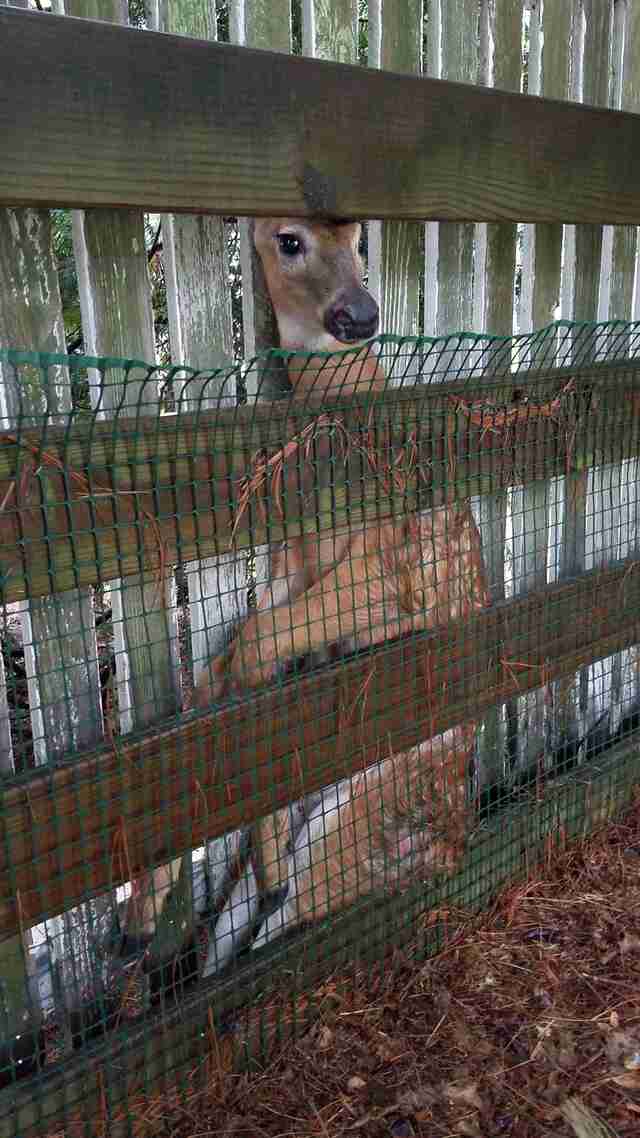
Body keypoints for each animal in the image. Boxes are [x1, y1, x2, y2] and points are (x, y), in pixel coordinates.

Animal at [193, 215, 487, 969]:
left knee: (293, 911)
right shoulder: (285, 568)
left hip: (351, 827)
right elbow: (226, 658)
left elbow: (254, 641)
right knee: (234, 930)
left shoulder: (390, 573)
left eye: (360, 238)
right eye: (288, 240)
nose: (360, 314)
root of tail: (452, 851)